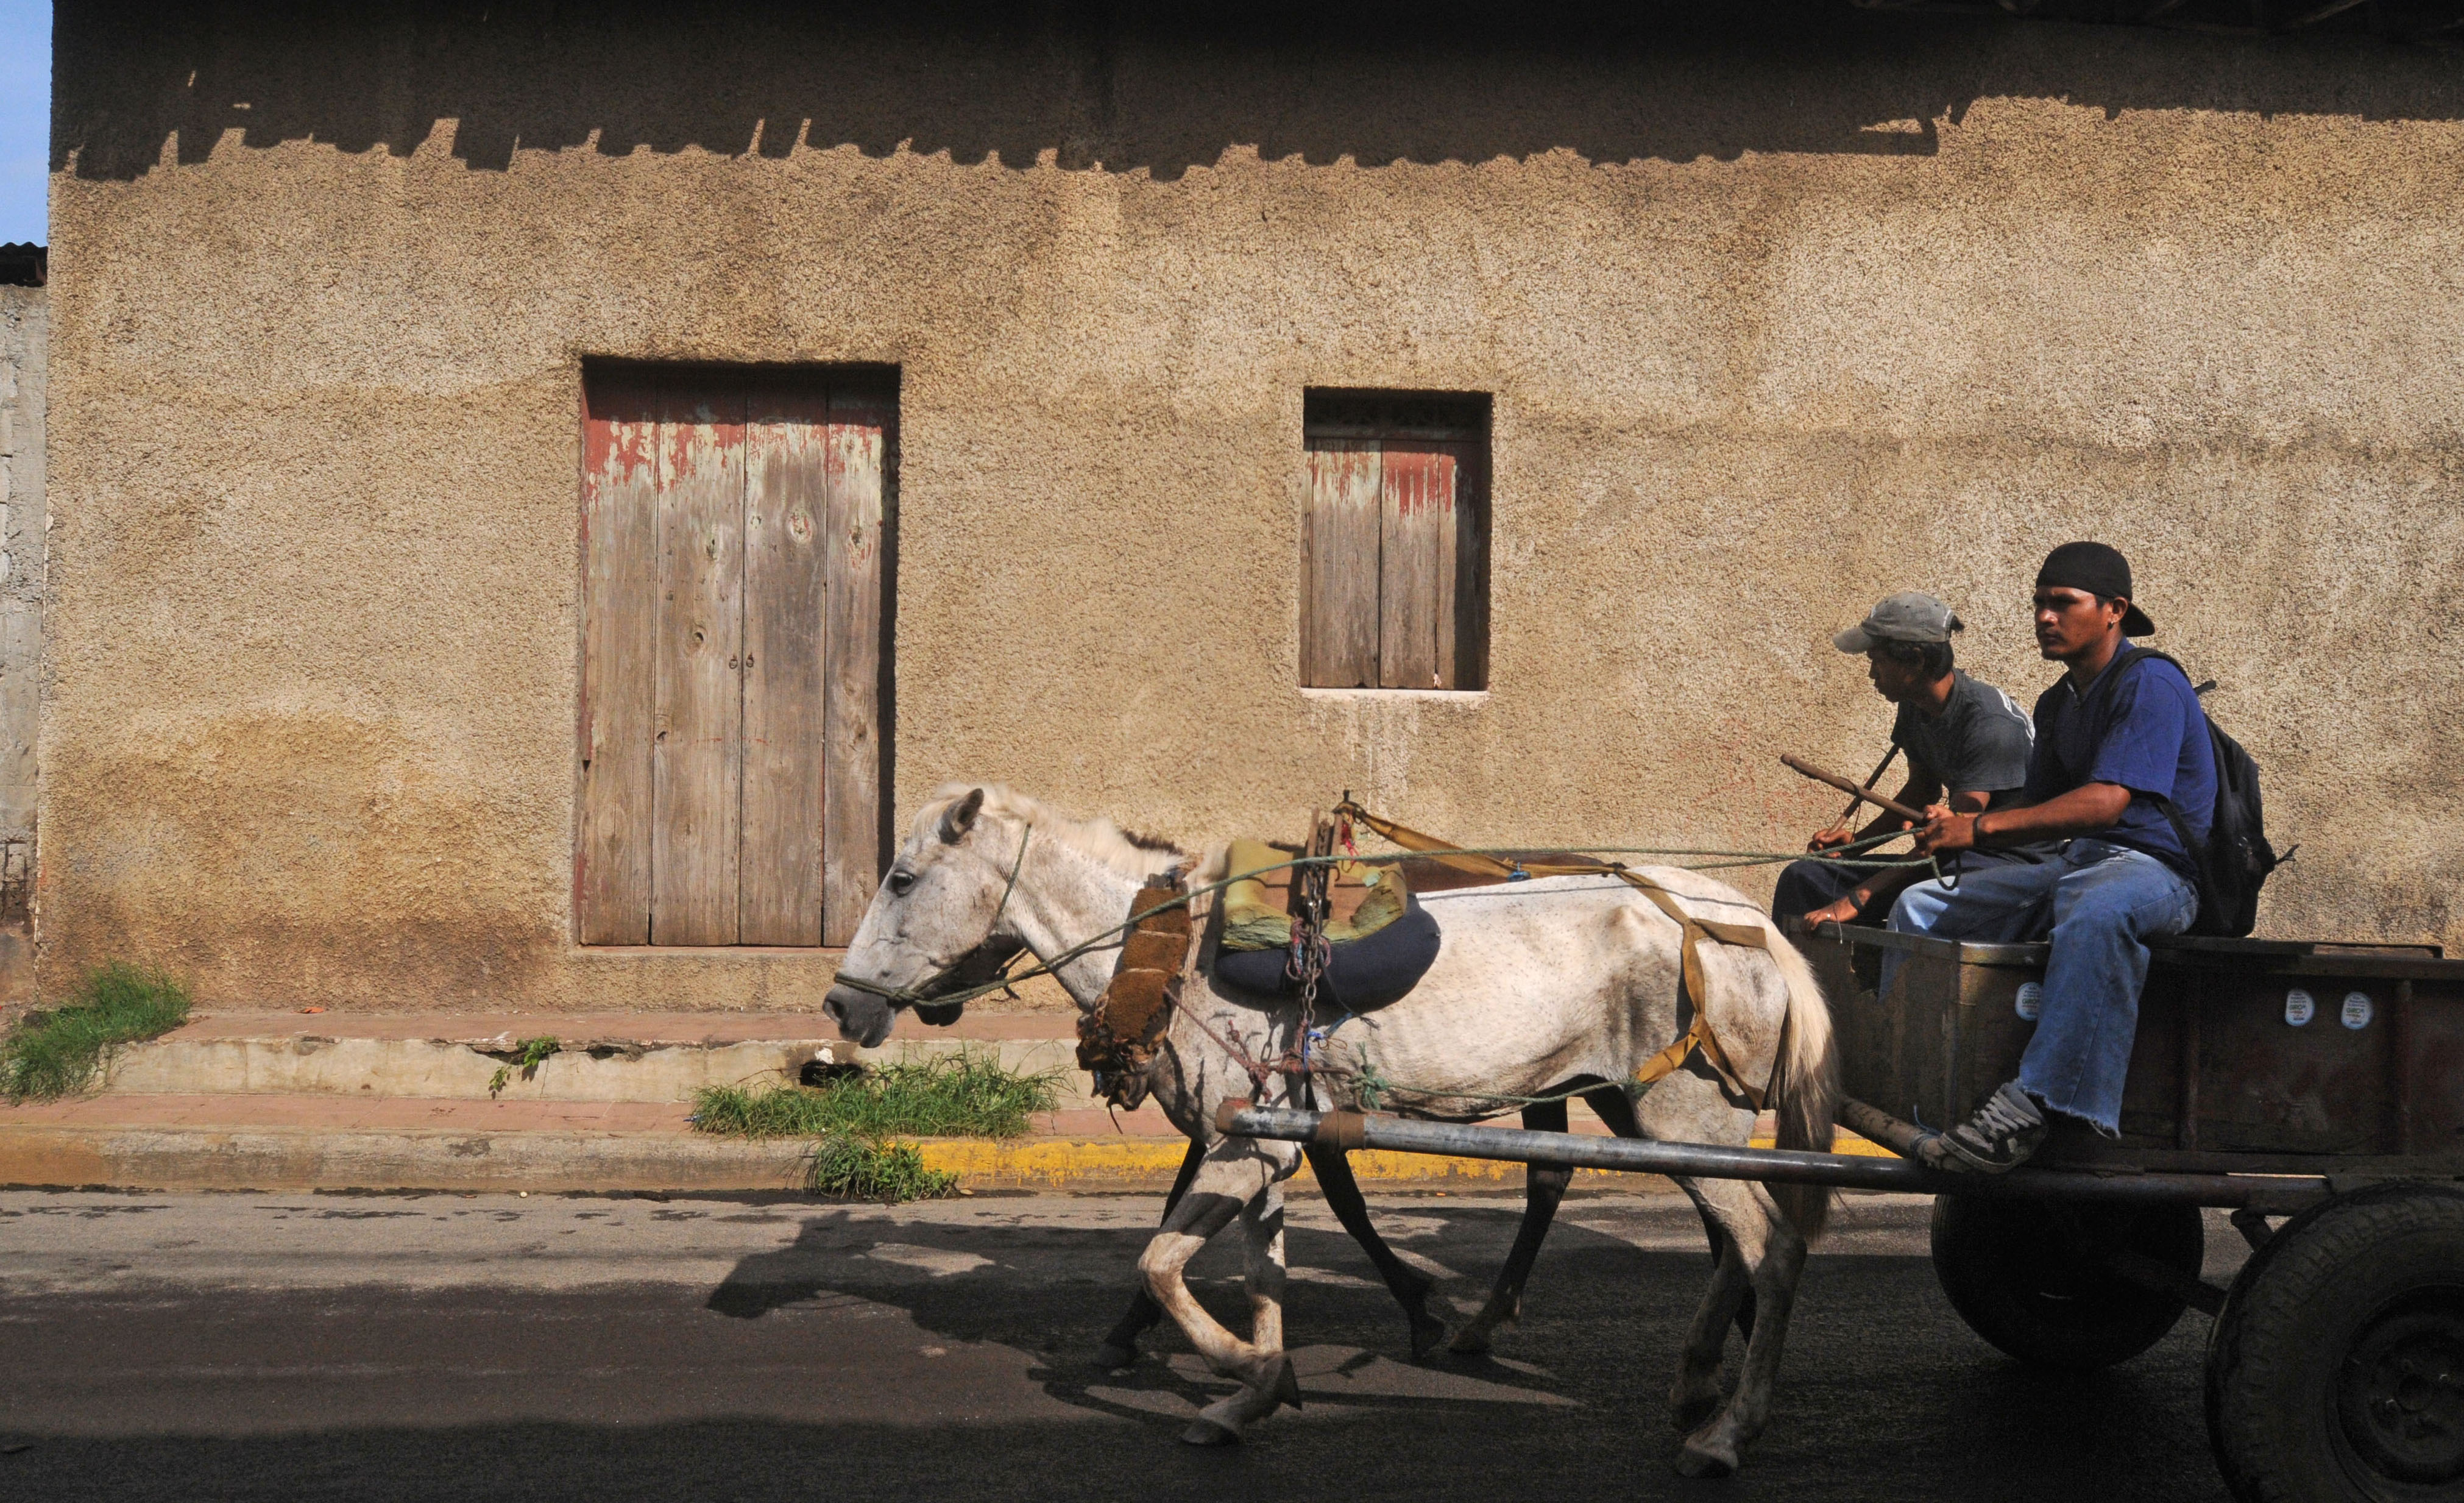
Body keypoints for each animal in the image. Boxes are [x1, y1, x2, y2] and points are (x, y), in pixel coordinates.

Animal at [818, 783, 1843, 1478]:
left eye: (902, 878)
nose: (839, 1005)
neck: (1170, 949)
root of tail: (1744, 923)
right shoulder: (1265, 1142)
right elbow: (1259, 1274)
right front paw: (1252, 1392)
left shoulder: (1246, 1142)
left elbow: (1161, 1262)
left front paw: (1240, 1364)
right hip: (1654, 1114)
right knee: (1731, 1244)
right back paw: (1694, 1381)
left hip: (1685, 1112)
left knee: (1772, 1247)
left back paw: (1728, 1426)